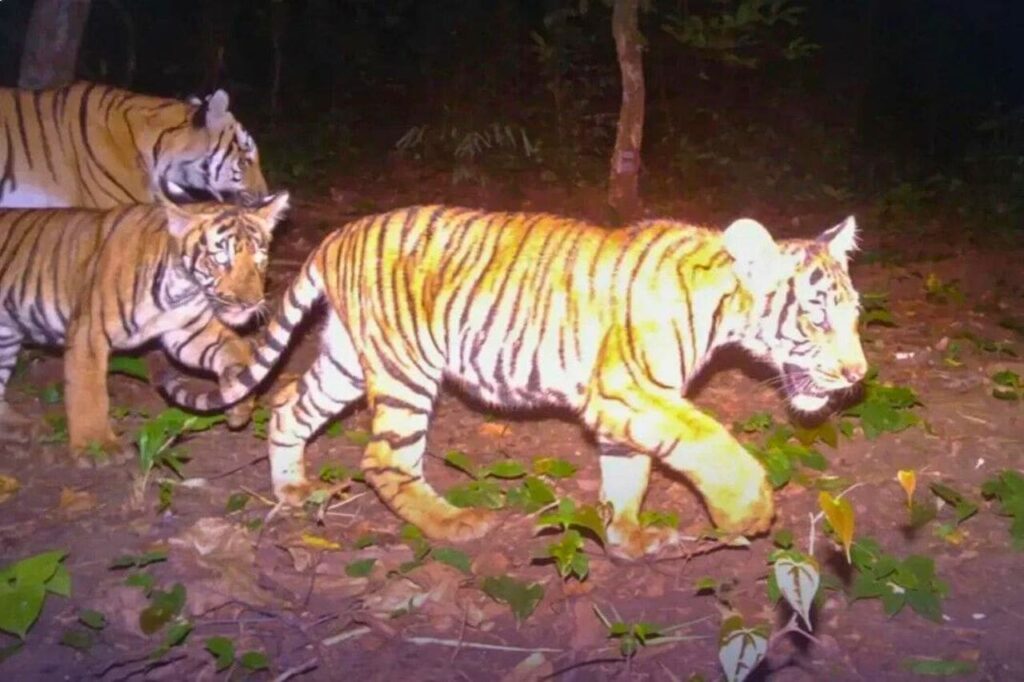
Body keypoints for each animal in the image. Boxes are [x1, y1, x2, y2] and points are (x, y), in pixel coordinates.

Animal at [0, 182, 288, 460]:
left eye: (260, 259)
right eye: (220, 260)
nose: (251, 303)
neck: (181, 288)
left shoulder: (189, 332)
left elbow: (235, 351)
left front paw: (239, 403)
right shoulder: (88, 333)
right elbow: (88, 392)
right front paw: (97, 447)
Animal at [160, 205, 867, 558]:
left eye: (856, 315)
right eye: (818, 315)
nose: (858, 374)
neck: (722, 308)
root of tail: (337, 234)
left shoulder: (629, 406)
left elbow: (628, 473)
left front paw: (627, 539)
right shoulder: (630, 390)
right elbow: (710, 441)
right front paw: (746, 512)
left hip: (345, 360)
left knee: (286, 405)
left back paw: (292, 492)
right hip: (405, 371)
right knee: (383, 458)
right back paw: (453, 525)